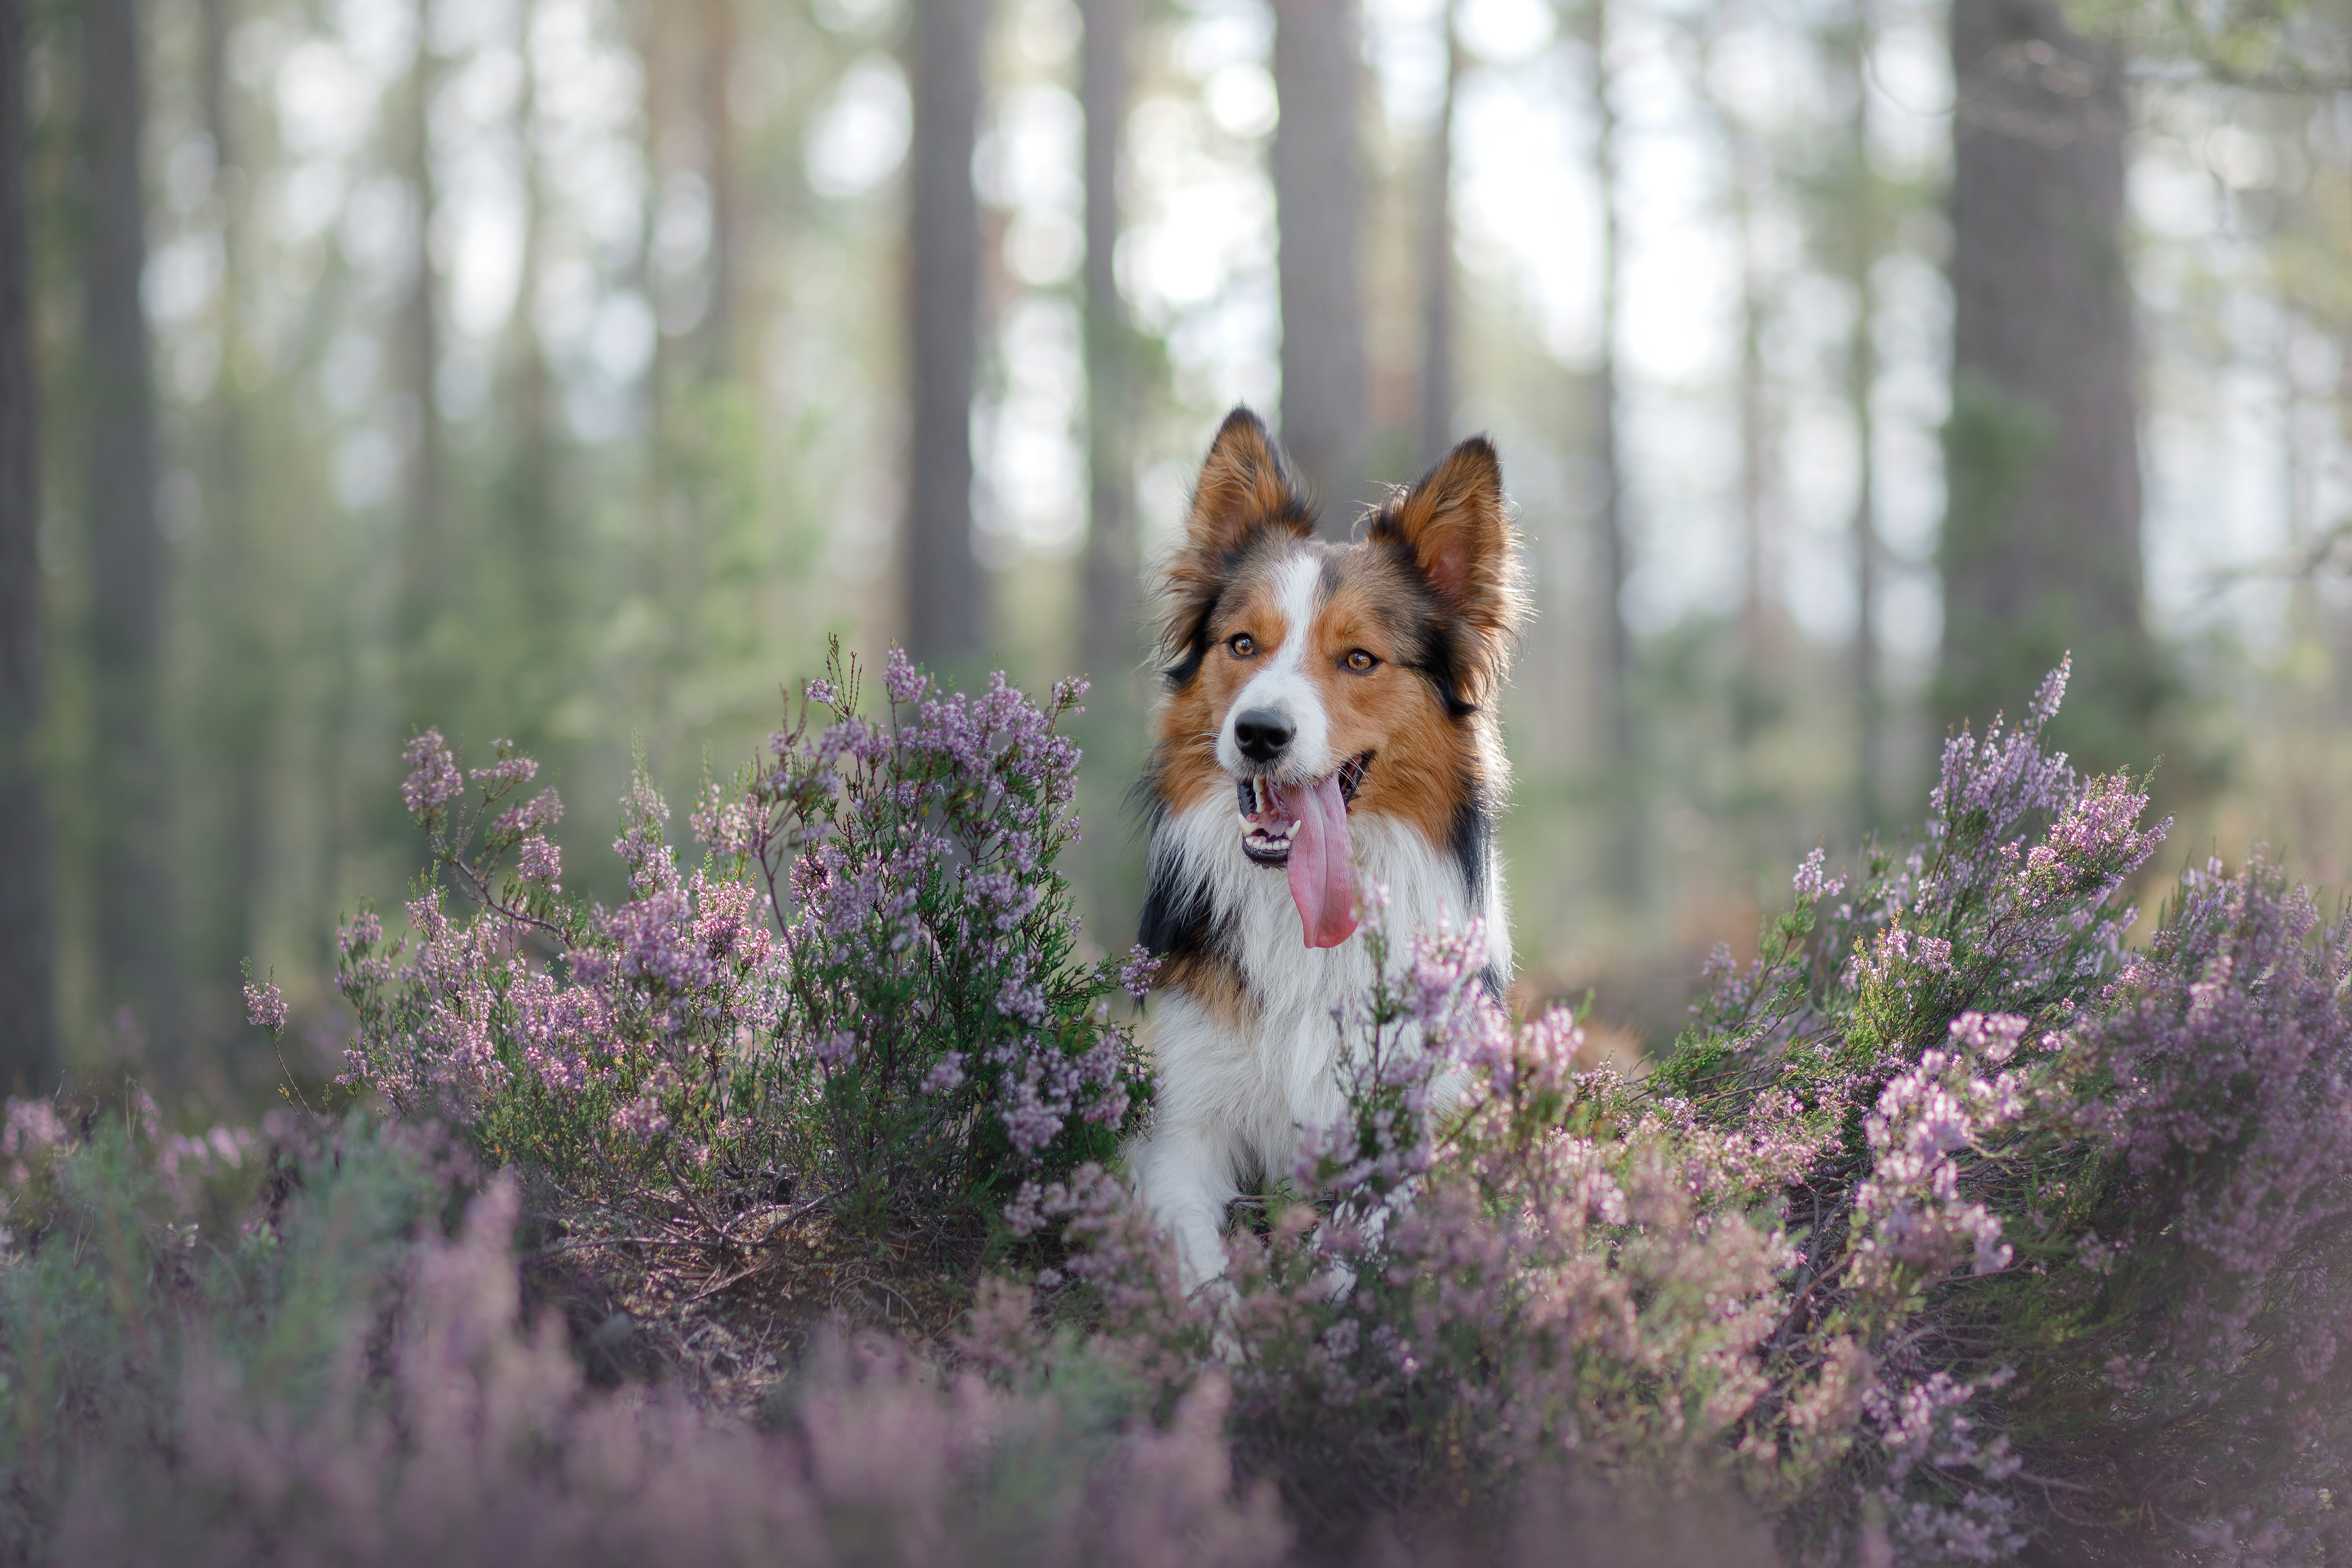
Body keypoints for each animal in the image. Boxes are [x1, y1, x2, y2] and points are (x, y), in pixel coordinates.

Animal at [1119, 404, 1524, 1288]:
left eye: (1359, 658)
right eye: (1243, 645)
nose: (1260, 733)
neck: (1302, 923)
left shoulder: (1419, 1124)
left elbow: (1366, 1242)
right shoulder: (1184, 1128)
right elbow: (1198, 1257)